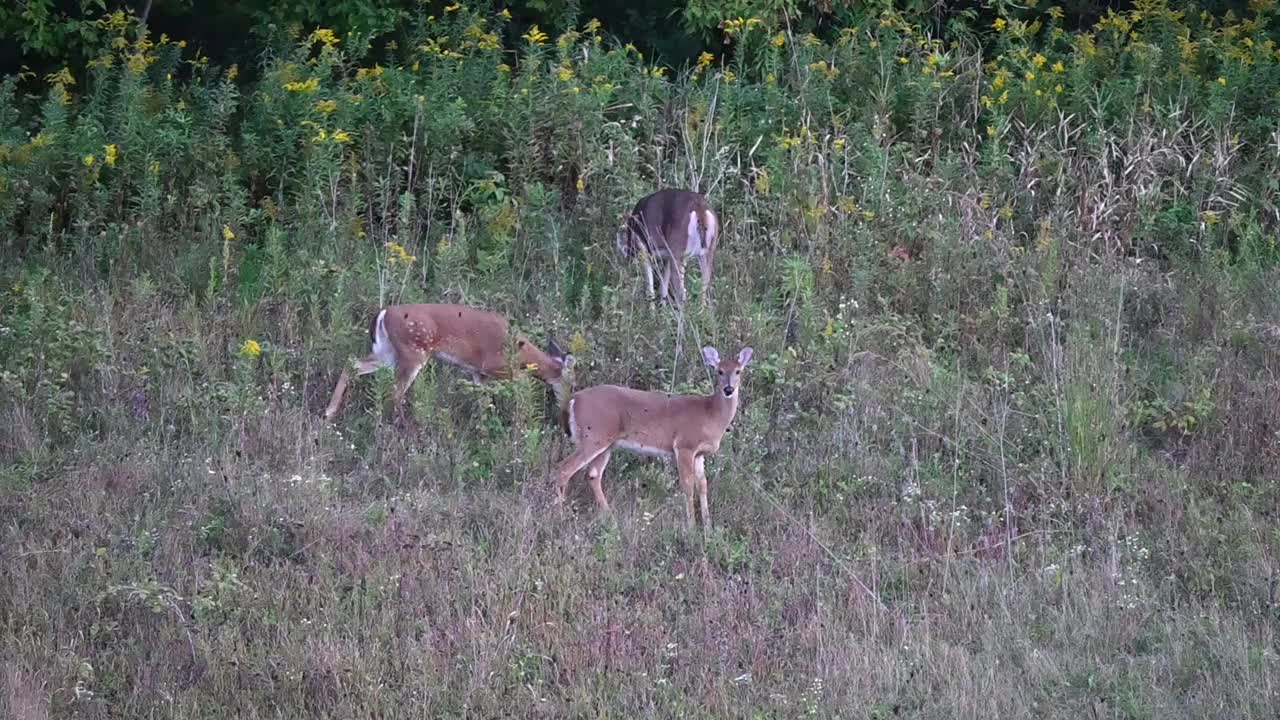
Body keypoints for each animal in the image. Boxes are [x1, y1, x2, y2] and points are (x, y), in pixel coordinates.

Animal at [325, 301, 576, 420]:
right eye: (573, 384)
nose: (566, 409)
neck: (520, 352)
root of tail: (383, 313)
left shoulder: (478, 373)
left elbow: (483, 403)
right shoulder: (496, 368)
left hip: (387, 353)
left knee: (353, 362)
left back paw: (329, 412)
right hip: (413, 350)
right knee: (396, 392)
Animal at [550, 340, 747, 532]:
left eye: (738, 371)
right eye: (719, 371)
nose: (728, 389)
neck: (710, 414)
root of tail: (573, 400)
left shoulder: (699, 454)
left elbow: (703, 485)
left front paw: (708, 528)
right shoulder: (684, 445)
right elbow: (687, 485)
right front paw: (691, 528)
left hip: (606, 443)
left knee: (593, 474)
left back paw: (610, 519)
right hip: (593, 436)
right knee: (564, 469)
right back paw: (560, 517)